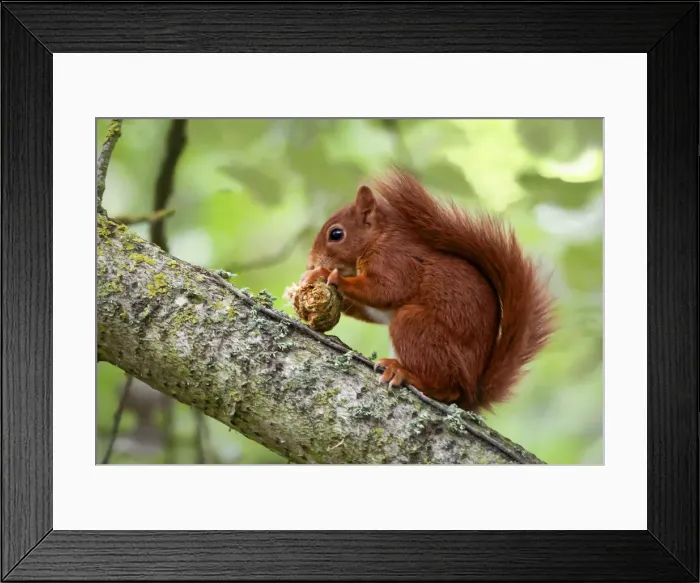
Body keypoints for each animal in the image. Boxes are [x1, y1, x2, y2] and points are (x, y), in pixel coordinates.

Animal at [300, 169, 556, 413]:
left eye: (336, 234)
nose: (310, 263)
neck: (379, 239)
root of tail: (473, 392)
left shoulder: (398, 262)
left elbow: (385, 291)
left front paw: (328, 275)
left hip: (415, 325)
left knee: (447, 388)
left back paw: (403, 372)